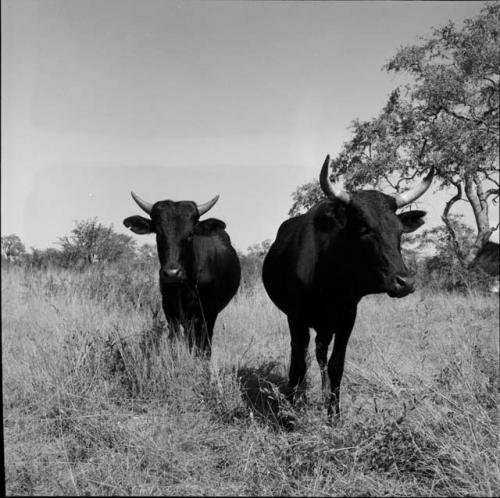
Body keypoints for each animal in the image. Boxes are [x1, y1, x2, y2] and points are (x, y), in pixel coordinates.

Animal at [125, 192, 242, 358]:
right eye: (158, 234)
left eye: (190, 235)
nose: (172, 273)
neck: (186, 284)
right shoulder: (170, 309)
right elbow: (175, 342)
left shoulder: (208, 313)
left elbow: (205, 348)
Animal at [262, 155, 434, 416]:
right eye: (364, 227)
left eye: (399, 231)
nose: (405, 282)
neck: (329, 278)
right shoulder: (296, 317)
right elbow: (297, 364)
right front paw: (289, 413)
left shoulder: (347, 317)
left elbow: (336, 365)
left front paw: (334, 413)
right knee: (304, 354)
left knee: (320, 352)